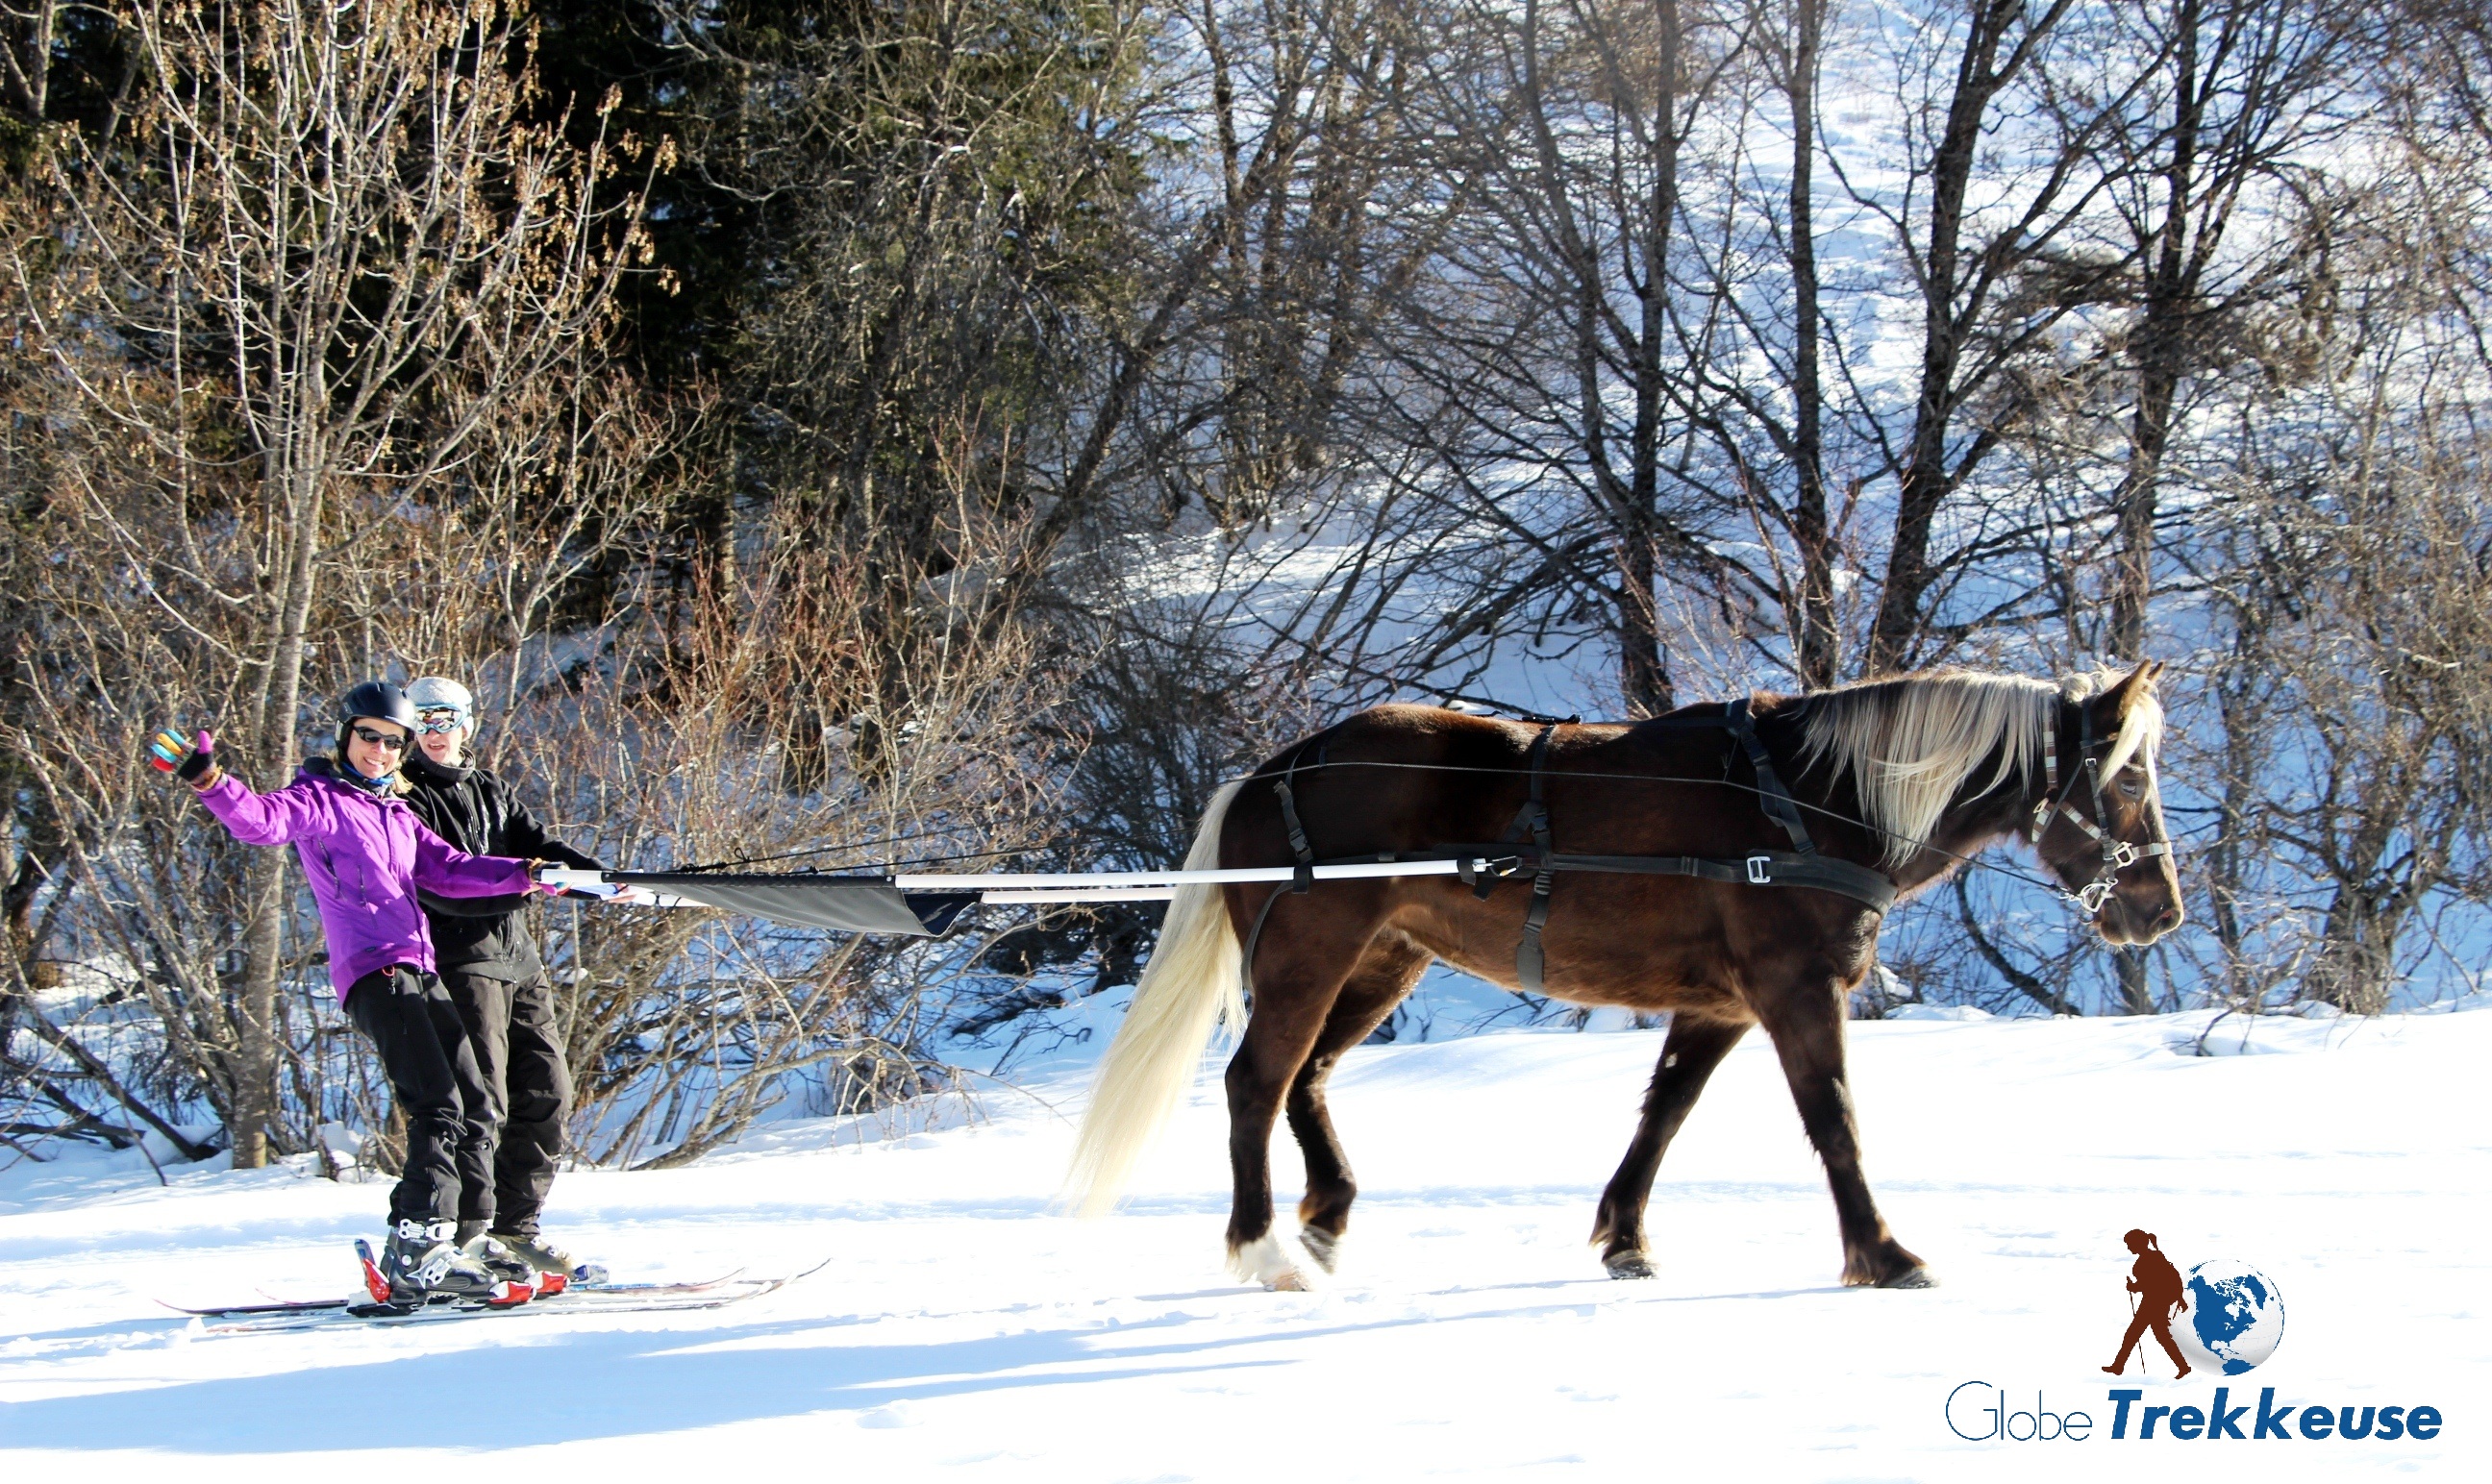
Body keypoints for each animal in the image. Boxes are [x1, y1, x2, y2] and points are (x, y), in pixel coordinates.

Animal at [1066, 662, 2182, 1284]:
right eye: (2128, 774)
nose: (2161, 906)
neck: (1815, 799)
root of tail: (1270, 771)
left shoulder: (1720, 1004)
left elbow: (1664, 1113)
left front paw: (1623, 1237)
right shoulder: (1795, 987)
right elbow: (1834, 1120)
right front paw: (1883, 1253)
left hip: (1384, 961)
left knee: (1309, 1079)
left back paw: (1327, 1214)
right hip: (1310, 957)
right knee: (1255, 1082)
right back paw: (1262, 1250)